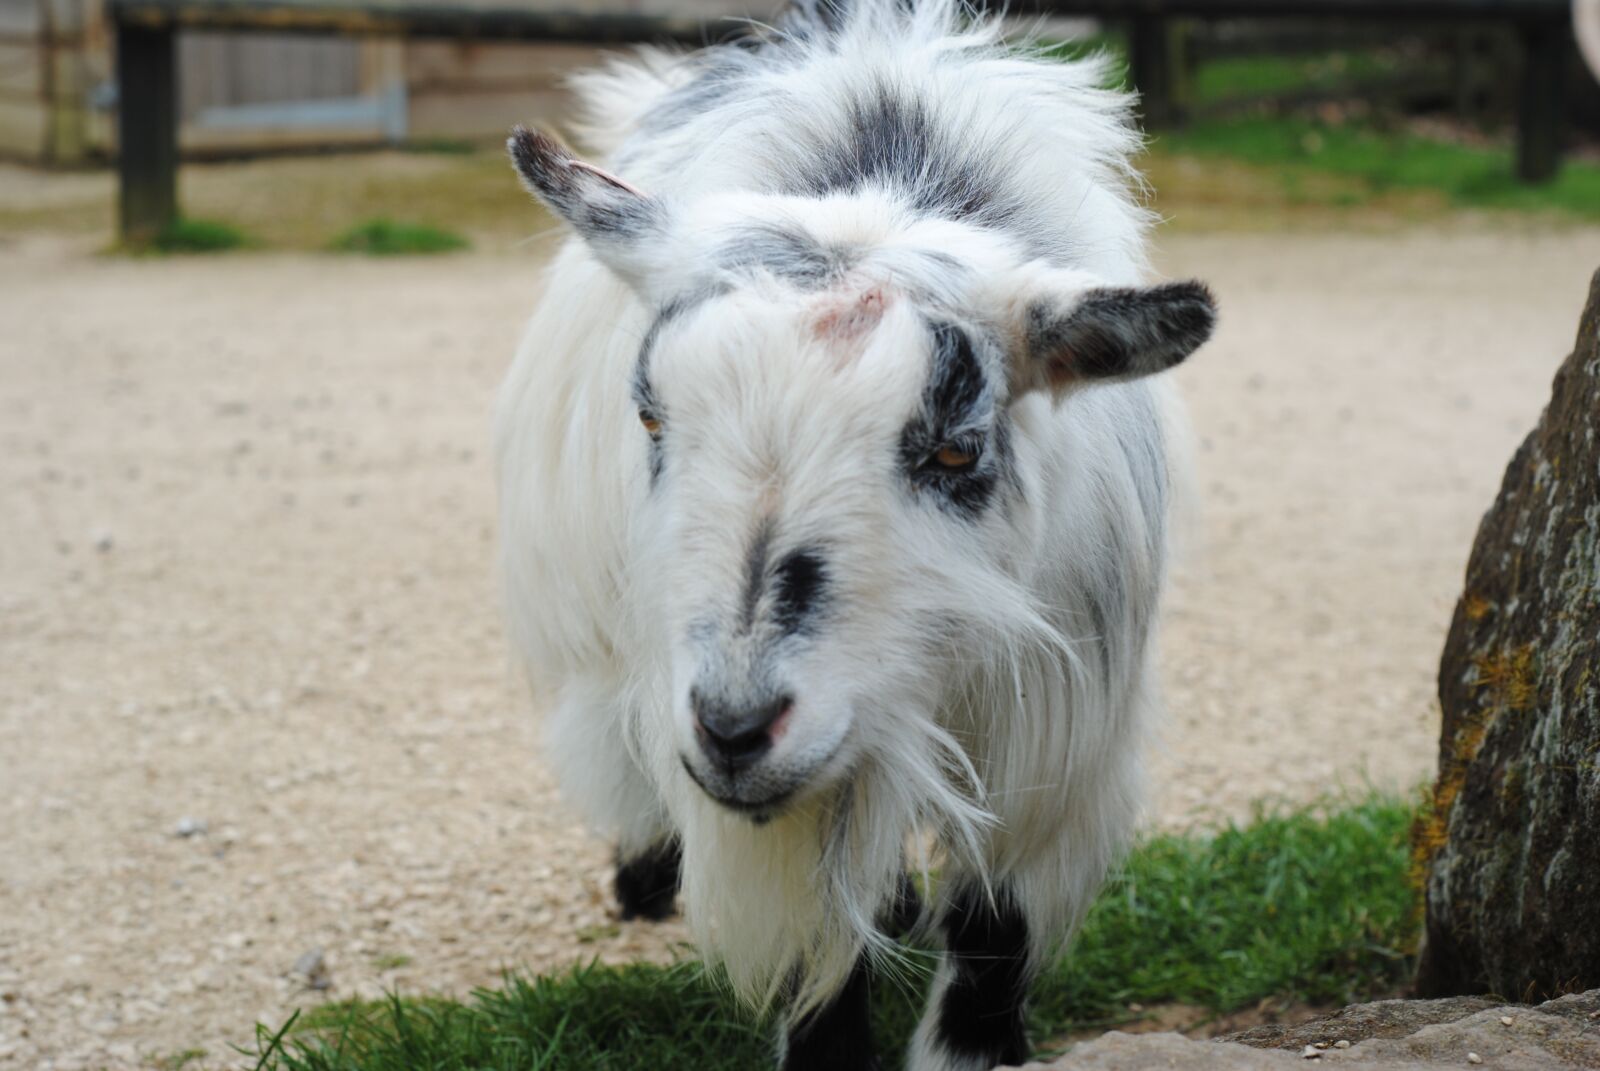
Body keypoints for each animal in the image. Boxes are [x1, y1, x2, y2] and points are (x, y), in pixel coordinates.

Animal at [496, 2, 1215, 1067]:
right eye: (653, 418)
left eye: (957, 449)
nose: (735, 727)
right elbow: (818, 943)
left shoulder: (1056, 725)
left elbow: (996, 916)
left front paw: (972, 1044)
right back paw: (644, 875)